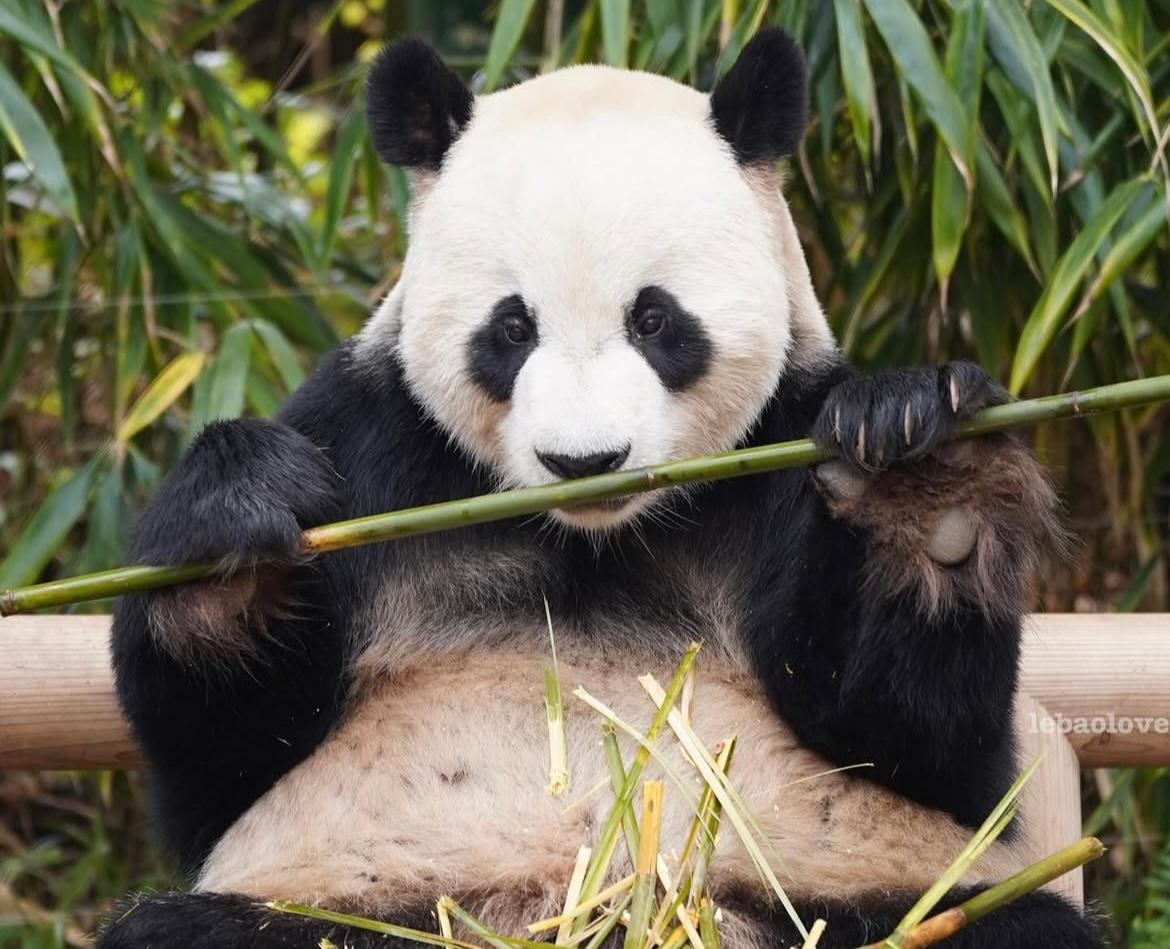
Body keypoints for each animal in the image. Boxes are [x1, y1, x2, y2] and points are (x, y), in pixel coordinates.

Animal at [100, 29, 1104, 949]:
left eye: (655, 320)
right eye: (511, 328)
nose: (583, 460)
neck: (592, 534)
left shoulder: (785, 446)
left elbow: (926, 752)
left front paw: (923, 485)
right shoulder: (370, 443)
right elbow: (221, 767)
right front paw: (235, 531)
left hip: (843, 897)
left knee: (1014, 924)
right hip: (356, 905)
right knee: (181, 927)